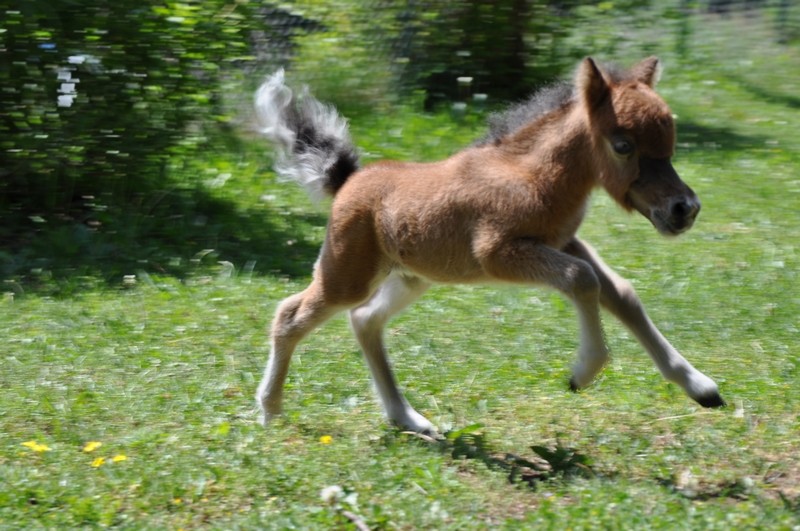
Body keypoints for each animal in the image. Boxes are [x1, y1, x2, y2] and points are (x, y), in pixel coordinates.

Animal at [256, 56, 724, 434]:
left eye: (670, 143)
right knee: (290, 314)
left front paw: (700, 386)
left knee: (365, 320)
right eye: (623, 145)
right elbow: (583, 280)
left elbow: (620, 293)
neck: (532, 175)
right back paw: (270, 410)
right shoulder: (498, 252)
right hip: (348, 273)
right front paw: (583, 372)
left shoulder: (565, 242)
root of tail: (347, 180)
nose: (684, 208)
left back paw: (408, 418)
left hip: (413, 277)